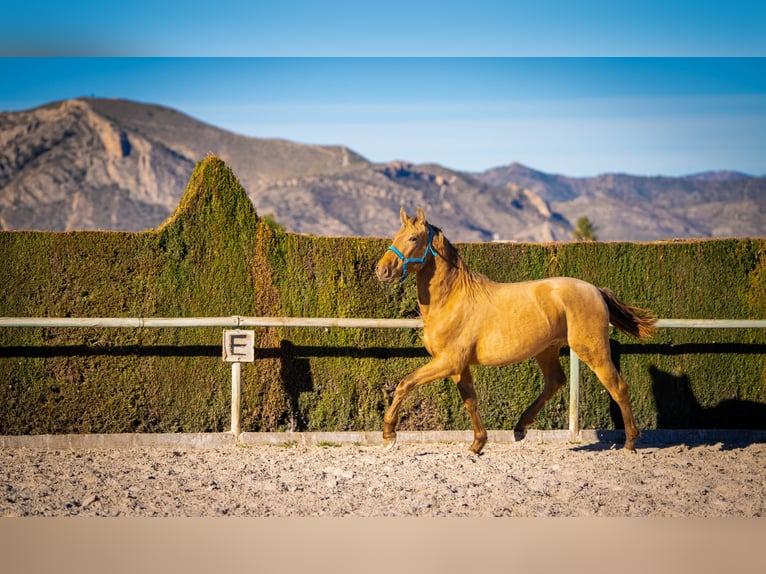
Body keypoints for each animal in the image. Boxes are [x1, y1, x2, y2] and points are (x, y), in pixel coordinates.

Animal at [376, 207, 656, 454]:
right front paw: (477, 444)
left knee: (618, 387)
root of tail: (595, 290)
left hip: (592, 350)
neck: (452, 300)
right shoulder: (459, 367)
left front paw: (389, 436)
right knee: (555, 382)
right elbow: (471, 401)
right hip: (547, 350)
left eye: (413, 238)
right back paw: (520, 428)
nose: (381, 270)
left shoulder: (448, 361)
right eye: (395, 236)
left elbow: (405, 384)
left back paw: (630, 443)